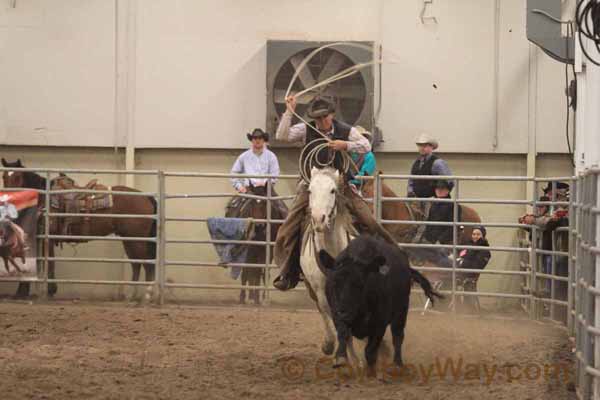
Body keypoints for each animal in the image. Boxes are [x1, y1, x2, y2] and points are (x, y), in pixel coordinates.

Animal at [0, 158, 158, 298]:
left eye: (18, 176)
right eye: (4, 176)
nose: (10, 199)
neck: (43, 200)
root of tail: (146, 197)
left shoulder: (46, 237)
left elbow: (47, 262)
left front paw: (41, 291)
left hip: (137, 240)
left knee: (146, 263)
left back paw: (147, 294)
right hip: (129, 239)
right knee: (136, 263)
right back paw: (132, 294)